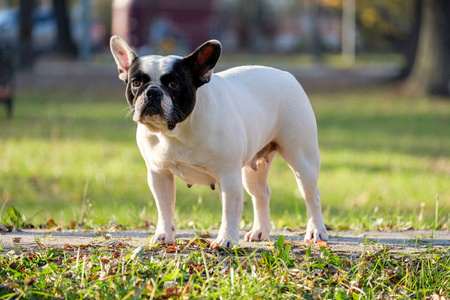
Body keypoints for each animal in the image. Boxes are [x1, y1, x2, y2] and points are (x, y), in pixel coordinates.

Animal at [109, 35, 326, 247]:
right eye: (136, 83)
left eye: (174, 84)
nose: (153, 91)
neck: (175, 131)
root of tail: (286, 75)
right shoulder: (158, 174)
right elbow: (164, 208)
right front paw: (163, 235)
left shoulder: (228, 175)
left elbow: (229, 211)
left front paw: (226, 240)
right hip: (251, 171)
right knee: (261, 195)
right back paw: (260, 232)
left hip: (302, 159)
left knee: (312, 196)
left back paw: (316, 231)